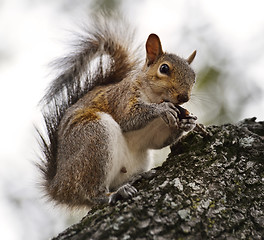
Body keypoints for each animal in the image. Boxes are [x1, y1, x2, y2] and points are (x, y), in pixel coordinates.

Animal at [38, 15, 197, 208]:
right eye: (164, 68)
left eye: (194, 77)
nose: (184, 97)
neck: (154, 97)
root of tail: (59, 187)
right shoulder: (122, 98)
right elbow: (128, 118)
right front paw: (162, 109)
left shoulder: (156, 133)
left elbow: (157, 141)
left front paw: (188, 123)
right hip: (93, 138)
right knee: (91, 194)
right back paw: (113, 194)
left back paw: (137, 177)